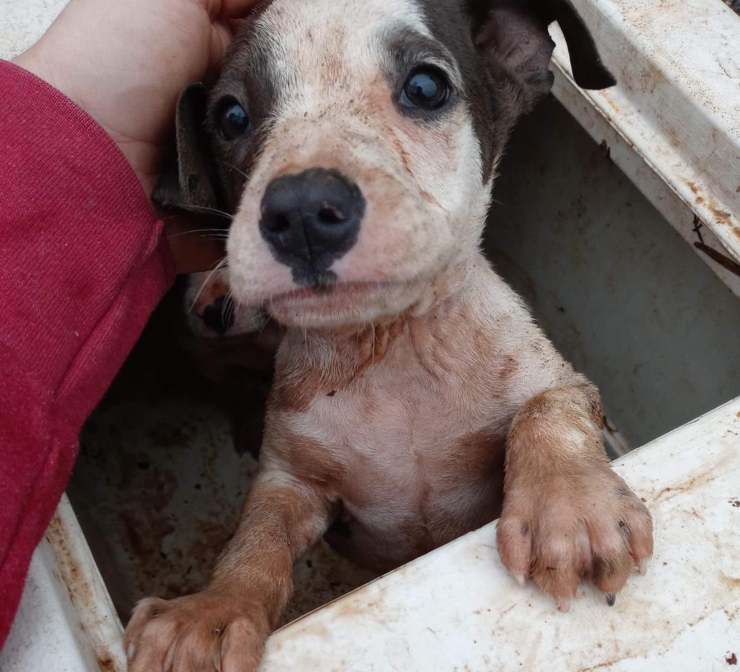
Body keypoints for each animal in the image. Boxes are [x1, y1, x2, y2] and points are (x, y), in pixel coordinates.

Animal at [127, 2, 652, 668]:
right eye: (231, 116)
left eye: (426, 86)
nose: (303, 210)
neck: (393, 352)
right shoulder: (292, 478)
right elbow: (257, 536)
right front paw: (212, 611)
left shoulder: (562, 381)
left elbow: (546, 411)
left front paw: (571, 507)